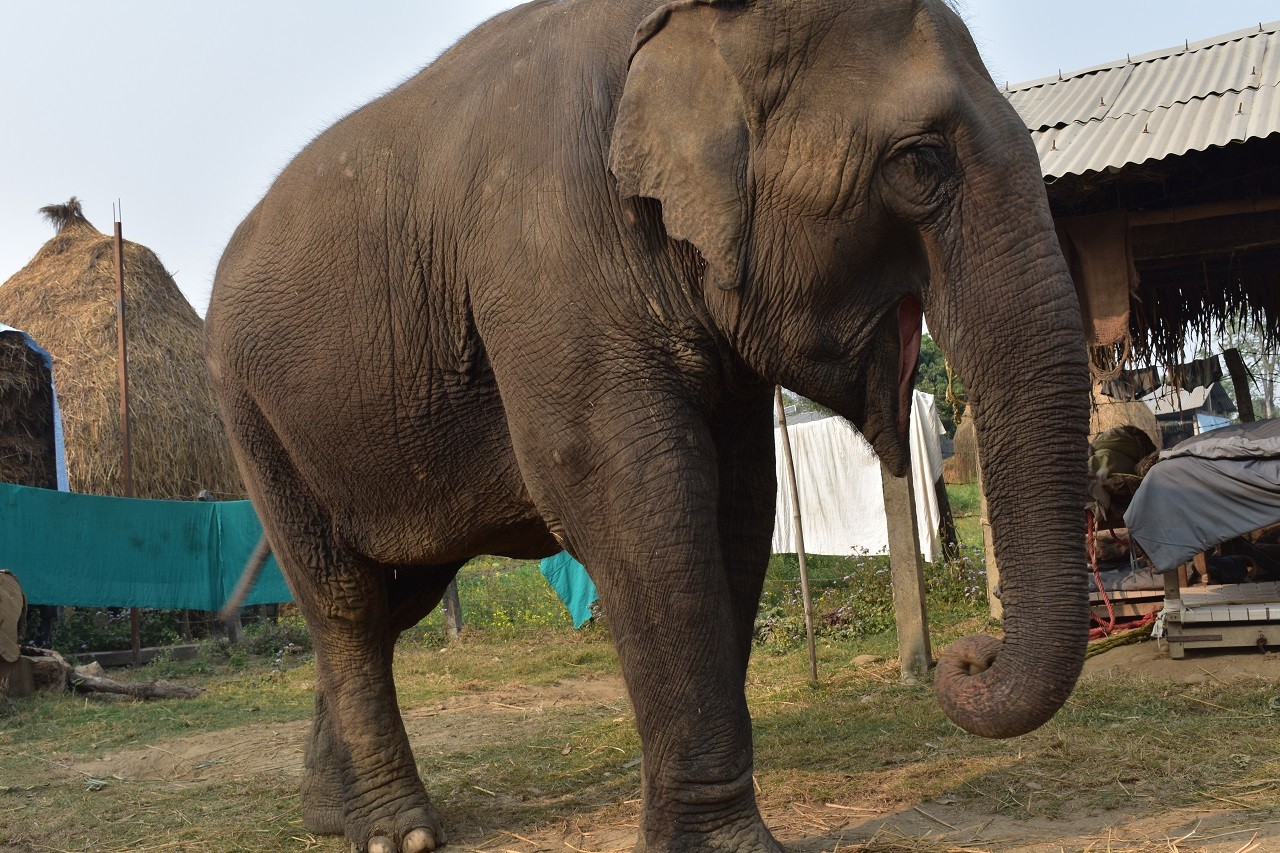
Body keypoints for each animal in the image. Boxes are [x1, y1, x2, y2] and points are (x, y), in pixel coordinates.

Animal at [204, 1, 1085, 850]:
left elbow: (739, 508)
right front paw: (723, 846)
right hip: (249, 414)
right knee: (345, 597)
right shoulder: (550, 261)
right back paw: (397, 832)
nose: (971, 655)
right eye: (919, 161)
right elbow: (643, 502)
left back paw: (330, 812)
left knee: (401, 591)